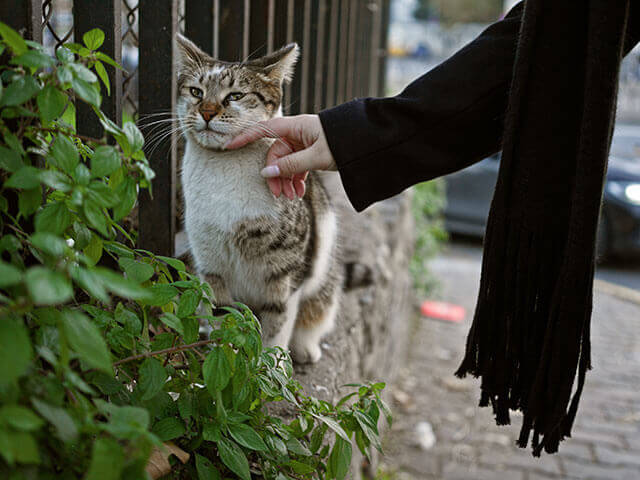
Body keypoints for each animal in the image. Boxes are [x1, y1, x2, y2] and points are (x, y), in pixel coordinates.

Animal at [175, 34, 342, 364]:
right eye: (196, 91)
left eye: (235, 95)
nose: (207, 111)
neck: (223, 173)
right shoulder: (210, 266)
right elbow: (222, 316)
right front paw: (224, 359)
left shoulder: (287, 273)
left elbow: (277, 325)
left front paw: (270, 369)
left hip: (324, 277)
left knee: (316, 311)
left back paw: (306, 348)